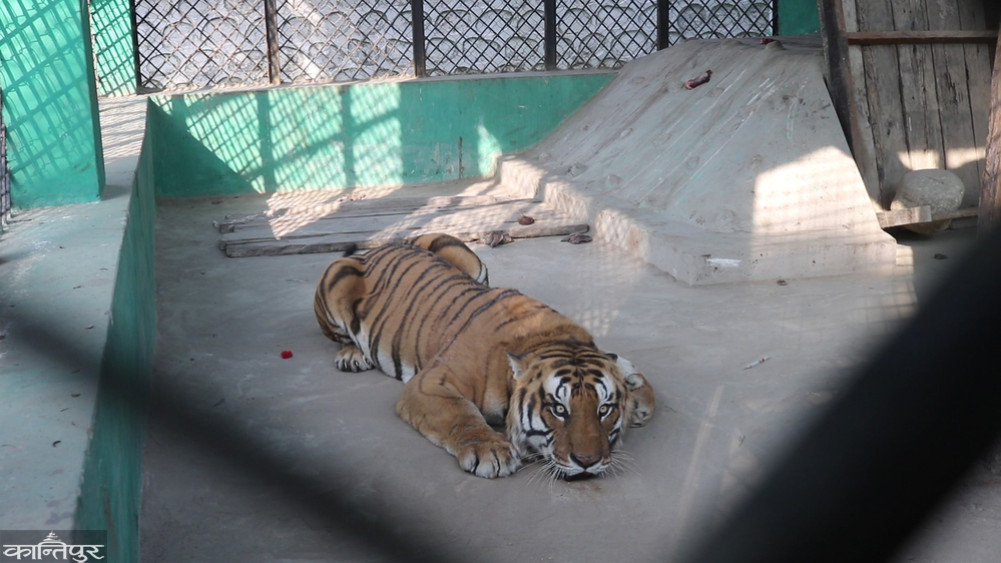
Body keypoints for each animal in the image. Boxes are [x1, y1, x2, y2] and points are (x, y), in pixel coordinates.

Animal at [314, 233, 655, 479]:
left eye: (604, 409)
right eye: (558, 409)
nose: (588, 461)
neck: (549, 338)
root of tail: (382, 247)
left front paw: (639, 398)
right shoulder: (430, 382)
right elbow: (459, 412)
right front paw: (491, 451)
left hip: (464, 254)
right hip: (334, 279)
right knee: (341, 334)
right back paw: (352, 355)